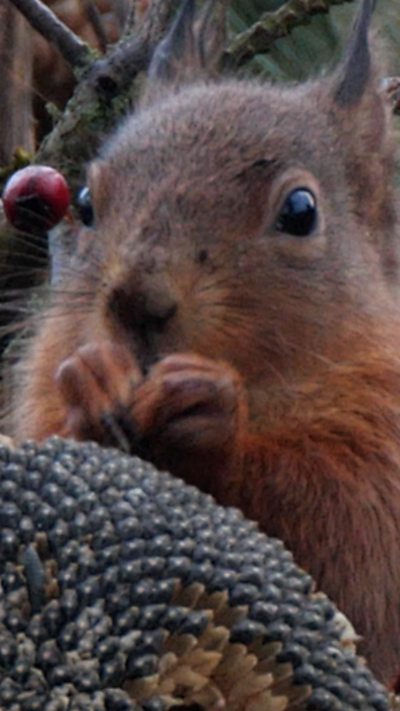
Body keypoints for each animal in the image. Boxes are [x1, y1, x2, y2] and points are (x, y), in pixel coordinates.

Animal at [4, 0, 400, 685]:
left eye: (302, 211)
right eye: (85, 202)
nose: (137, 302)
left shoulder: (386, 439)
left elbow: (354, 548)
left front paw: (210, 413)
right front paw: (89, 384)